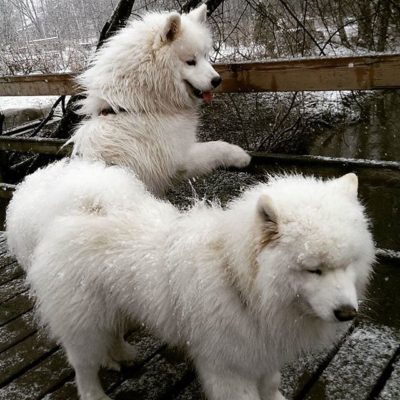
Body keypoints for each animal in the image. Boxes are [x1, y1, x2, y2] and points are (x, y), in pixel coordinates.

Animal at [7, 159, 376, 400]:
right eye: (314, 269)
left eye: (349, 263)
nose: (347, 313)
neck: (241, 282)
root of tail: (68, 212)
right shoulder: (228, 366)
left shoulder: (262, 352)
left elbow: (271, 386)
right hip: (82, 319)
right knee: (82, 365)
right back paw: (95, 393)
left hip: (109, 308)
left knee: (110, 335)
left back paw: (120, 354)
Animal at [69, 4, 250, 195]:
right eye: (190, 61)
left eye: (205, 56)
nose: (217, 80)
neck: (135, 107)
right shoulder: (178, 159)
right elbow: (216, 146)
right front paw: (240, 155)